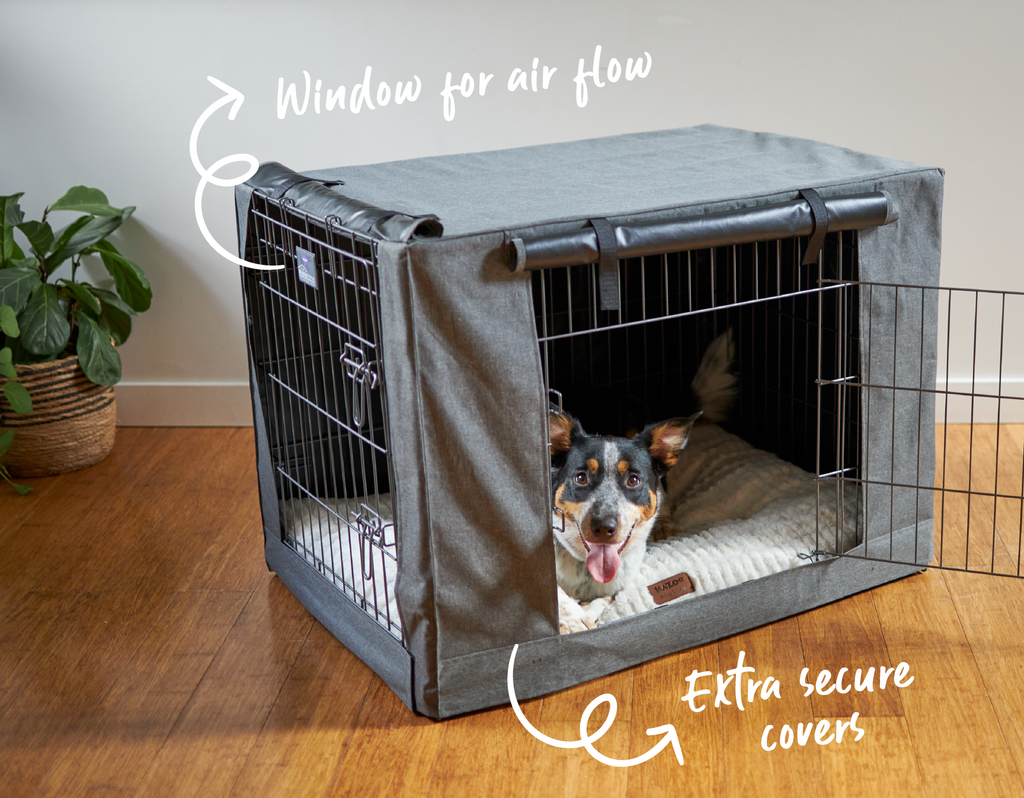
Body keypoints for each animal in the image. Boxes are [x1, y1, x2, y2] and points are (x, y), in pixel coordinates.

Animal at [552, 329, 737, 631]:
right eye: (580, 478)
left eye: (633, 480)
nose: (604, 527)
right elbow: (558, 595)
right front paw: (575, 619)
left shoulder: (620, 580)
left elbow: (604, 599)